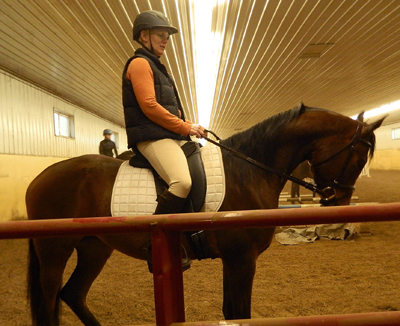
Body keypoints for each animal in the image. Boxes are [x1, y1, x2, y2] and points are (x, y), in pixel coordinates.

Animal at [25, 104, 384, 326]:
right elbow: (239, 312)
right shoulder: (241, 257)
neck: (247, 171)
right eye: (359, 155)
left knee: (73, 293)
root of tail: (40, 177)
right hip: (55, 250)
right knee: (50, 299)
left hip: (95, 246)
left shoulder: (235, 258)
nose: (339, 202)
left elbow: (232, 311)